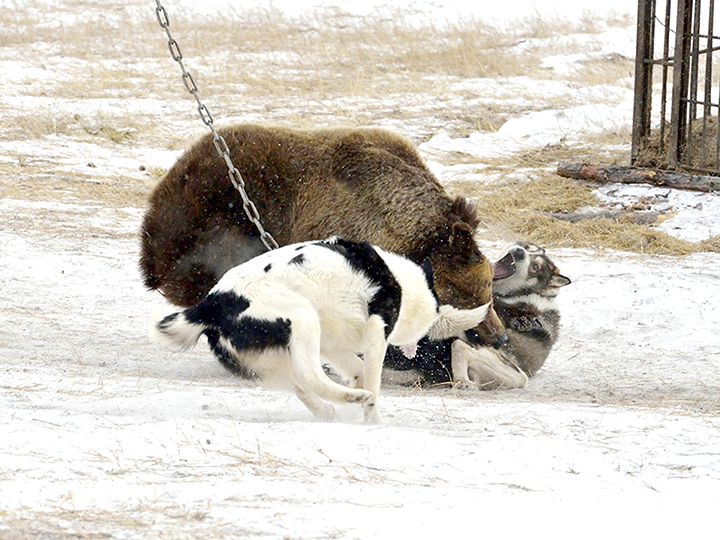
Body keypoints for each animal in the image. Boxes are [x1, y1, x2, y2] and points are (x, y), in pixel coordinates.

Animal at [151, 237, 490, 422]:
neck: (405, 287)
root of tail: (212, 304)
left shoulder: (333, 344)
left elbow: (355, 368)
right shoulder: (376, 334)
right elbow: (373, 378)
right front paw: (373, 417)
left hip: (270, 359)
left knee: (301, 384)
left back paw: (331, 409)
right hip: (302, 319)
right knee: (309, 376)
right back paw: (353, 398)